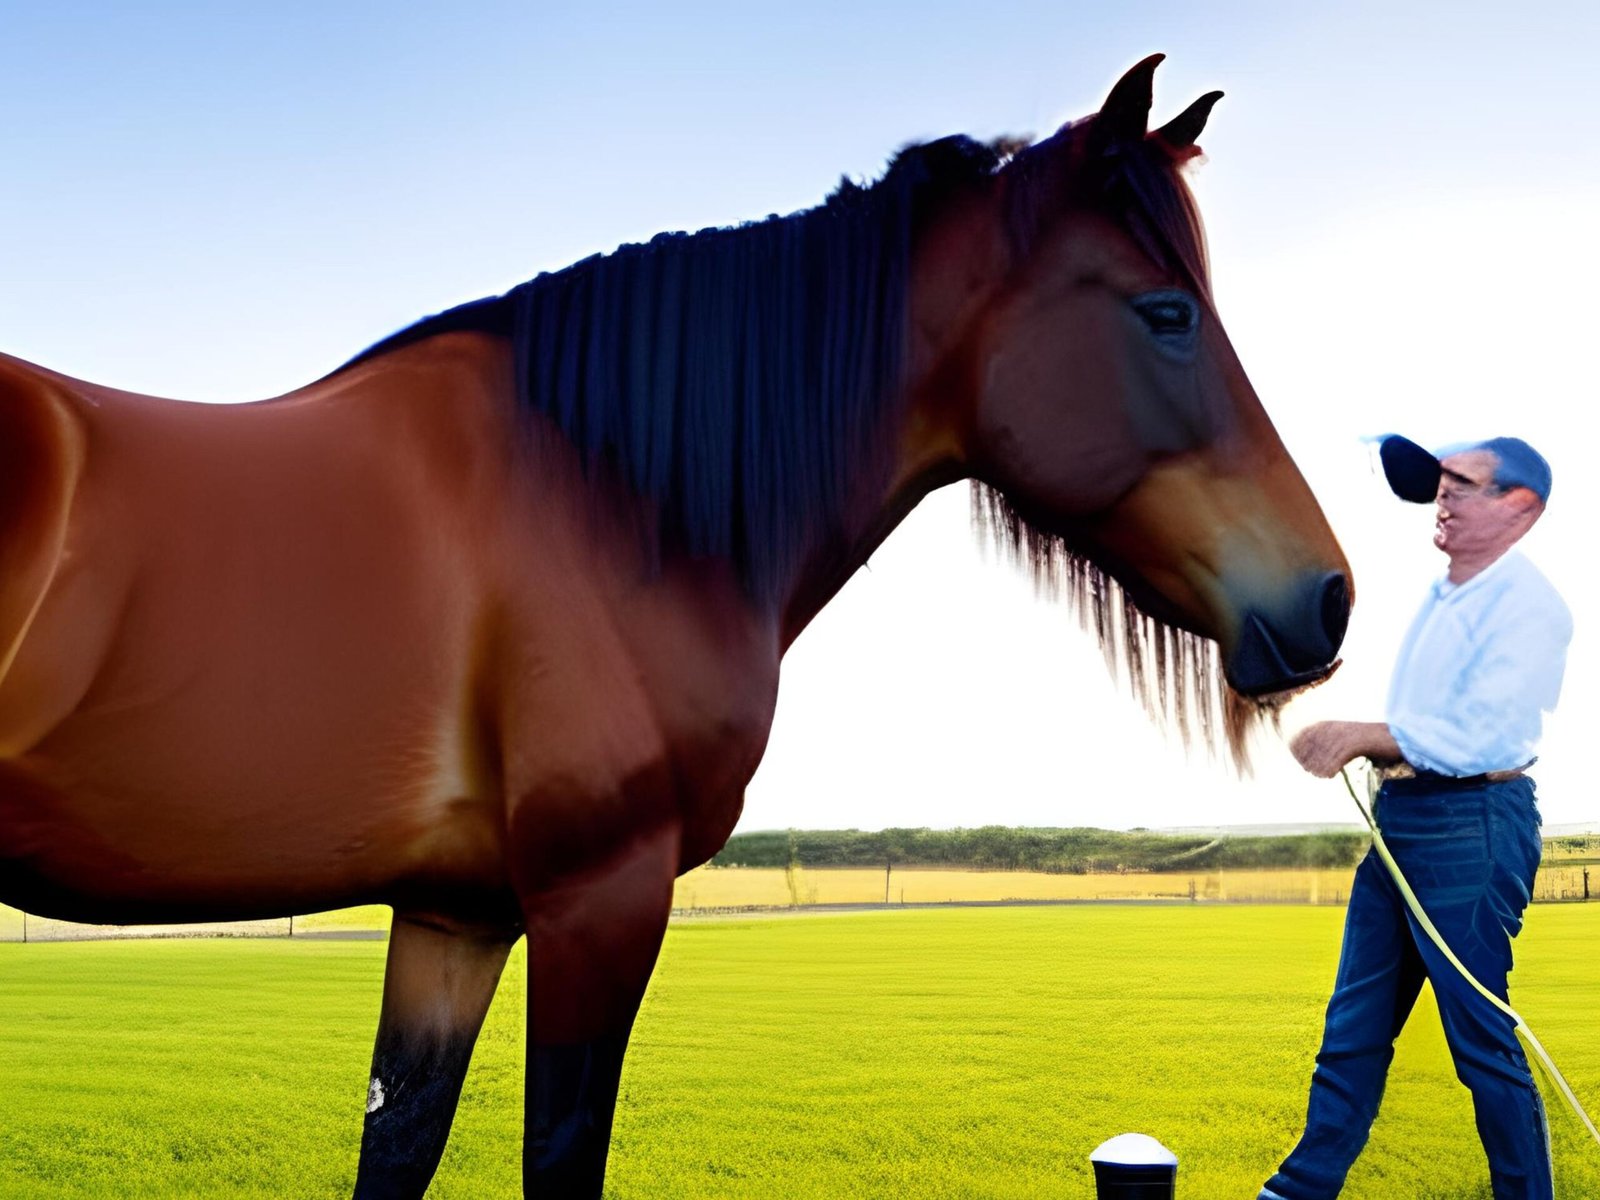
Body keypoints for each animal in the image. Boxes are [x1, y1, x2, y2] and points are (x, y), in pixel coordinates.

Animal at [0, 56, 1350, 1197]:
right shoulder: (600, 897)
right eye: (1166, 312)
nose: (1325, 597)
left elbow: (400, 1147)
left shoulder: (455, 916)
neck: (612, 495)